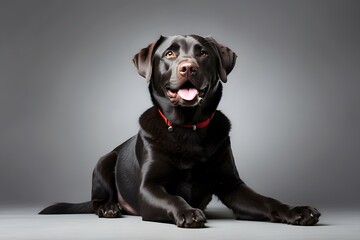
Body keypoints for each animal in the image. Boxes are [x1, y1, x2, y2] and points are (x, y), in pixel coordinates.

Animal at [40, 34, 320, 228]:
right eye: (170, 54)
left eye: (203, 53)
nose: (188, 67)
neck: (188, 127)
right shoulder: (149, 187)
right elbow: (172, 198)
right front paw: (187, 211)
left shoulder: (232, 185)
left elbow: (267, 200)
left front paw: (297, 210)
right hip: (104, 161)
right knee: (96, 200)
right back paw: (109, 208)